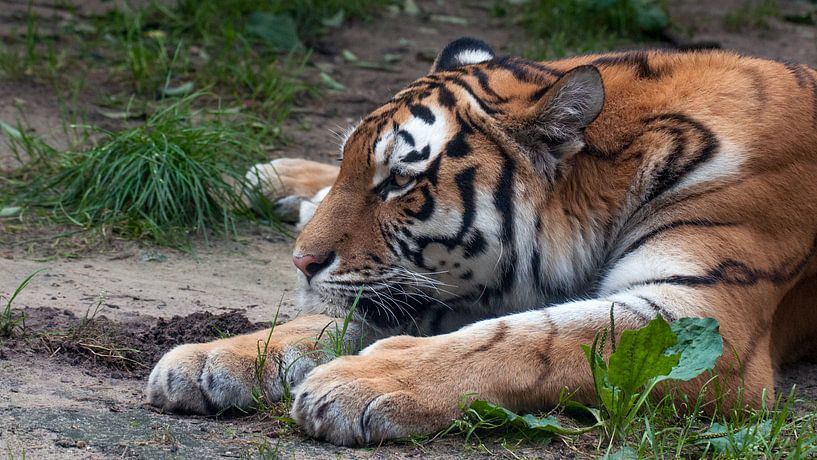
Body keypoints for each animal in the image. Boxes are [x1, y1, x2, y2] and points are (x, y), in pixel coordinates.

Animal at [145, 37, 817, 446]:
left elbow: (532, 339)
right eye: (354, 167)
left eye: (399, 182)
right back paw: (272, 180)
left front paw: (360, 383)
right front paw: (211, 358)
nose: (301, 262)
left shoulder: (705, 320)